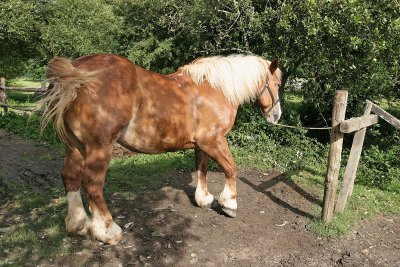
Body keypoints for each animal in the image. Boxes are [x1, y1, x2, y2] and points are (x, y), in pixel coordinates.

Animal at [40, 53, 282, 246]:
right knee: (92, 184)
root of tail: (76, 70)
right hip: (99, 147)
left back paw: (77, 224)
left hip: (76, 147)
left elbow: (201, 169)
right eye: (278, 83)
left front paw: (203, 199)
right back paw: (108, 231)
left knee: (70, 177)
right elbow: (231, 169)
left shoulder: (201, 144)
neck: (214, 90)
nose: (276, 115)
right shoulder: (213, 141)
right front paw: (229, 203)